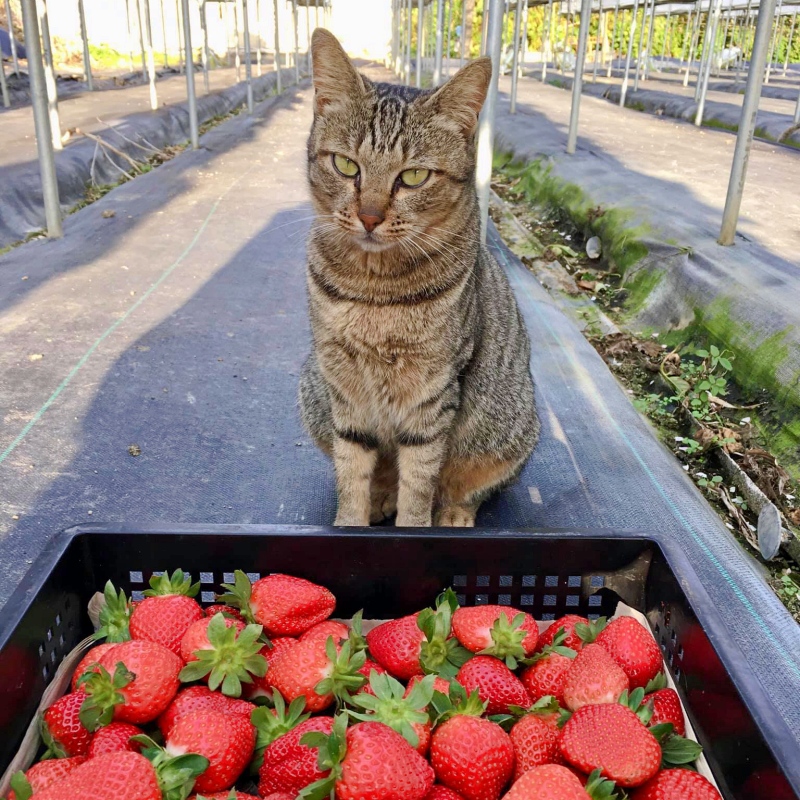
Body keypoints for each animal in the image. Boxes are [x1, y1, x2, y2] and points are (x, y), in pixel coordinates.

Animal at [299, 29, 539, 528]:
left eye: (412, 177)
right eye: (346, 166)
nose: (370, 216)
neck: (373, 288)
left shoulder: (433, 393)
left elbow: (419, 485)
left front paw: (415, 527)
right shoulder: (344, 390)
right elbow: (352, 472)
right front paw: (350, 521)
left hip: (508, 431)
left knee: (470, 486)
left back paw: (454, 513)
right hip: (313, 388)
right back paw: (381, 499)